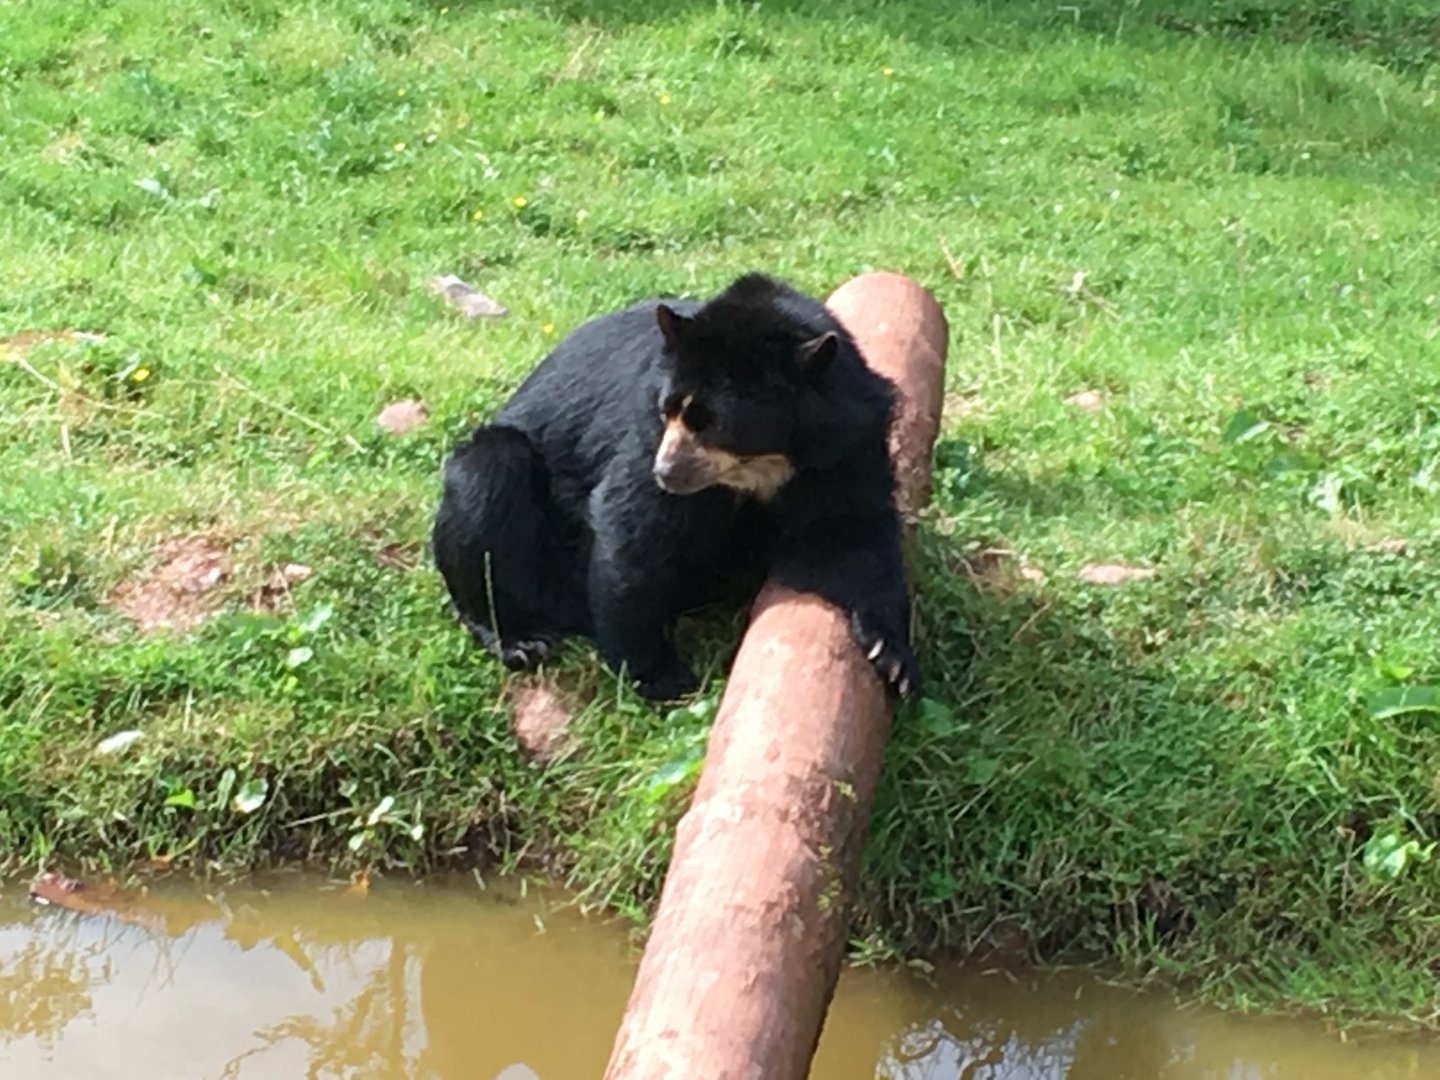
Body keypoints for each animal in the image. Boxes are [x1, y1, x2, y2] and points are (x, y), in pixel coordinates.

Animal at [431, 272, 920, 702]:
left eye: (714, 424)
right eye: (669, 410)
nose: (665, 472)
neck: (761, 467)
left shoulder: (844, 451)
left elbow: (847, 537)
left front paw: (892, 657)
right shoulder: (647, 433)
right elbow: (633, 530)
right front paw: (661, 676)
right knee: (488, 480)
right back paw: (516, 638)